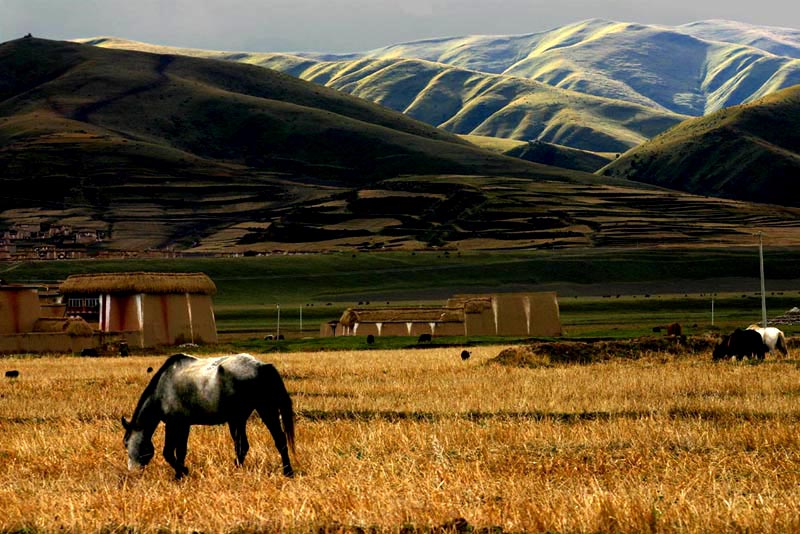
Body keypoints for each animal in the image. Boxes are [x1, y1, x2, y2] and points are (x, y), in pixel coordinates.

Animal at [119, 356, 294, 482]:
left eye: (127, 443)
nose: (132, 472)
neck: (162, 388)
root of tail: (262, 366)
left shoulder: (173, 424)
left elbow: (168, 452)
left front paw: (182, 472)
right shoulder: (184, 425)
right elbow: (181, 451)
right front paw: (179, 475)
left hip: (256, 412)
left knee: (265, 442)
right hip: (246, 416)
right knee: (257, 443)